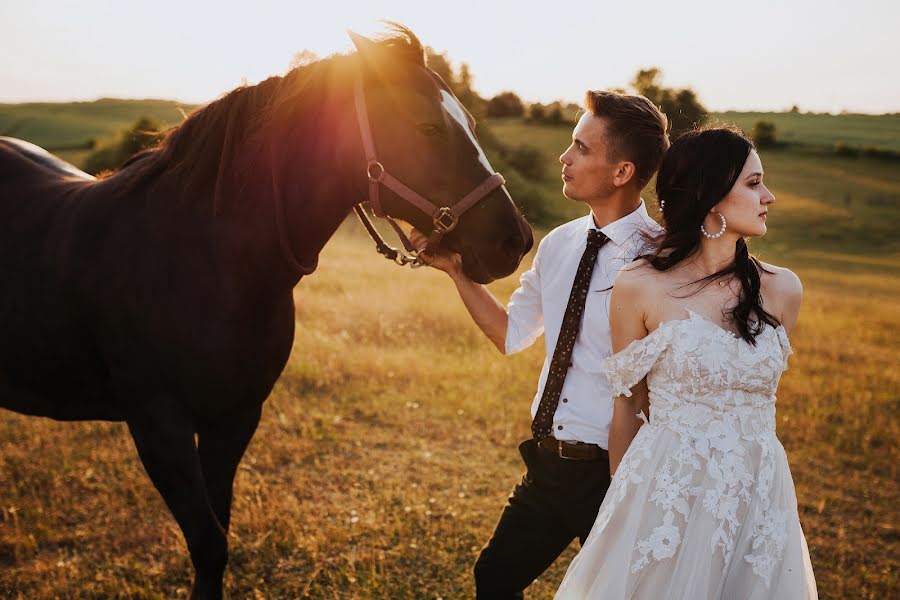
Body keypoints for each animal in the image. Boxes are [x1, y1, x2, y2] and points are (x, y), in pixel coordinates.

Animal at [0, 24, 536, 600]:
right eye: (428, 126)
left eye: (470, 124)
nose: (515, 240)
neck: (205, 259)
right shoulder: (157, 426)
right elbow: (209, 544)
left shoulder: (233, 418)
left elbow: (216, 538)